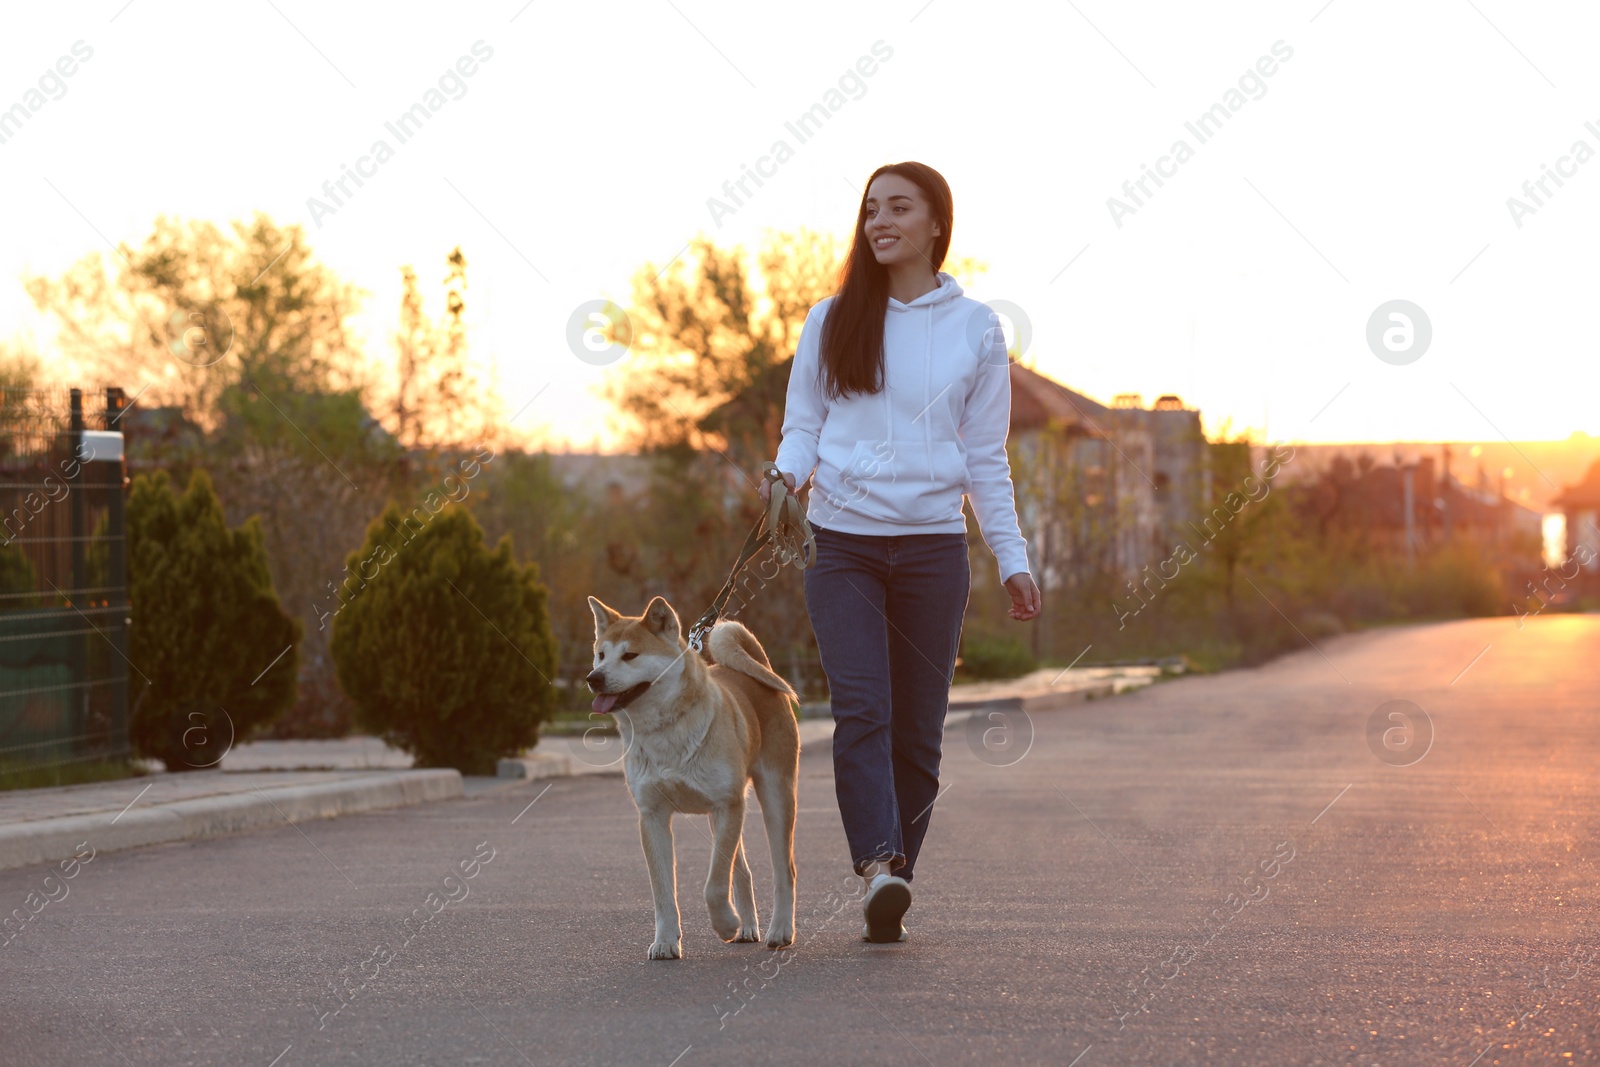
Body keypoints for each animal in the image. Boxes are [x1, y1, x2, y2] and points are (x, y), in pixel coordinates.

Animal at [588, 598, 800, 966]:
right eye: (601, 654)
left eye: (630, 656)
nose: (593, 678)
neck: (665, 732)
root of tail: (757, 668)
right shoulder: (653, 816)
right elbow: (663, 892)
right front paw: (665, 941)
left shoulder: (727, 804)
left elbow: (714, 885)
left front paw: (725, 923)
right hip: (722, 819)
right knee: (742, 871)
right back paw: (748, 927)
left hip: (773, 798)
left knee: (783, 870)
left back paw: (779, 930)